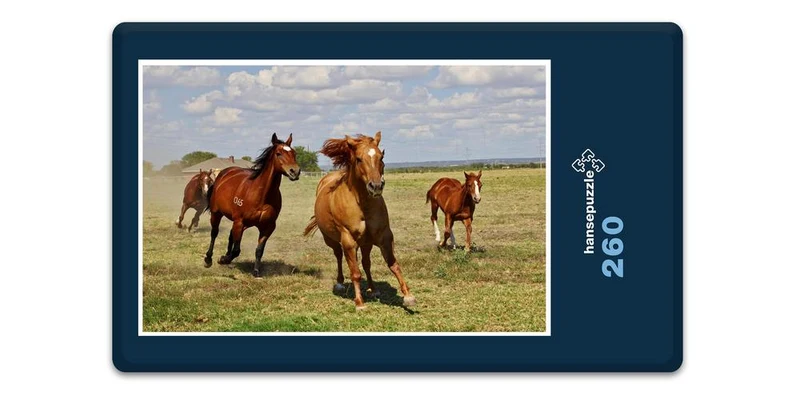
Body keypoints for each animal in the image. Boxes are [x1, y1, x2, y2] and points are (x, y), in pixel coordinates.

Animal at [203, 133, 301, 277]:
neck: (261, 195)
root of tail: (223, 174)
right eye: (278, 153)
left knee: (231, 235)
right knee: (214, 233)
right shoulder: (240, 221)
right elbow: (237, 250)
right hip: (217, 214)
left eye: (294, 153)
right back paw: (209, 259)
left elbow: (259, 250)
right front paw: (223, 259)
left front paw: (256, 271)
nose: (295, 171)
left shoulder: (268, 227)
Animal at [303, 131, 416, 310]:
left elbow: (393, 265)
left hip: (365, 243)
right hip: (332, 240)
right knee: (339, 256)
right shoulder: (348, 240)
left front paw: (408, 296)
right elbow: (355, 272)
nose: (376, 186)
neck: (362, 204)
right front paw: (359, 302)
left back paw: (373, 289)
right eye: (358, 159)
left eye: (381, 156)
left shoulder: (384, 236)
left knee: (365, 263)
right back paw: (340, 284)